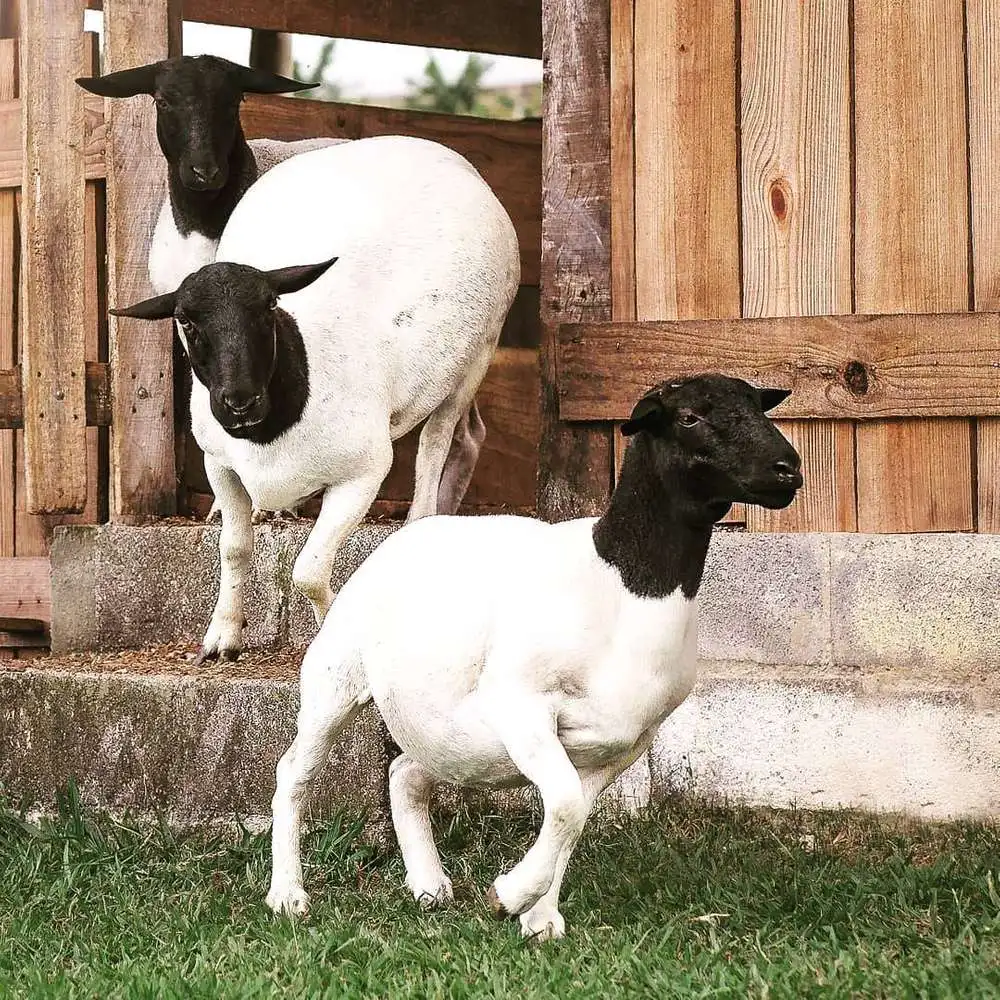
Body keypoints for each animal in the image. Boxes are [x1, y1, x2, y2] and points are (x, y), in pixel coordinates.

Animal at [112, 135, 521, 664]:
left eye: (269, 307)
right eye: (185, 319)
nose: (239, 402)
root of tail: (436, 149)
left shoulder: (362, 474)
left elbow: (307, 571)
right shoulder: (220, 466)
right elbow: (234, 550)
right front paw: (222, 636)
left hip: (477, 354)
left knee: (437, 441)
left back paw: (424, 515)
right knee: (469, 434)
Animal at [262, 374, 803, 941]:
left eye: (757, 406)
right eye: (689, 417)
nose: (788, 469)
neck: (623, 584)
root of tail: (409, 531)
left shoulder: (622, 744)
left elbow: (573, 819)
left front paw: (540, 920)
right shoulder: (521, 703)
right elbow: (564, 805)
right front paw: (509, 897)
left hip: (448, 730)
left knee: (405, 772)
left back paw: (429, 885)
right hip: (335, 680)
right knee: (294, 773)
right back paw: (288, 895)